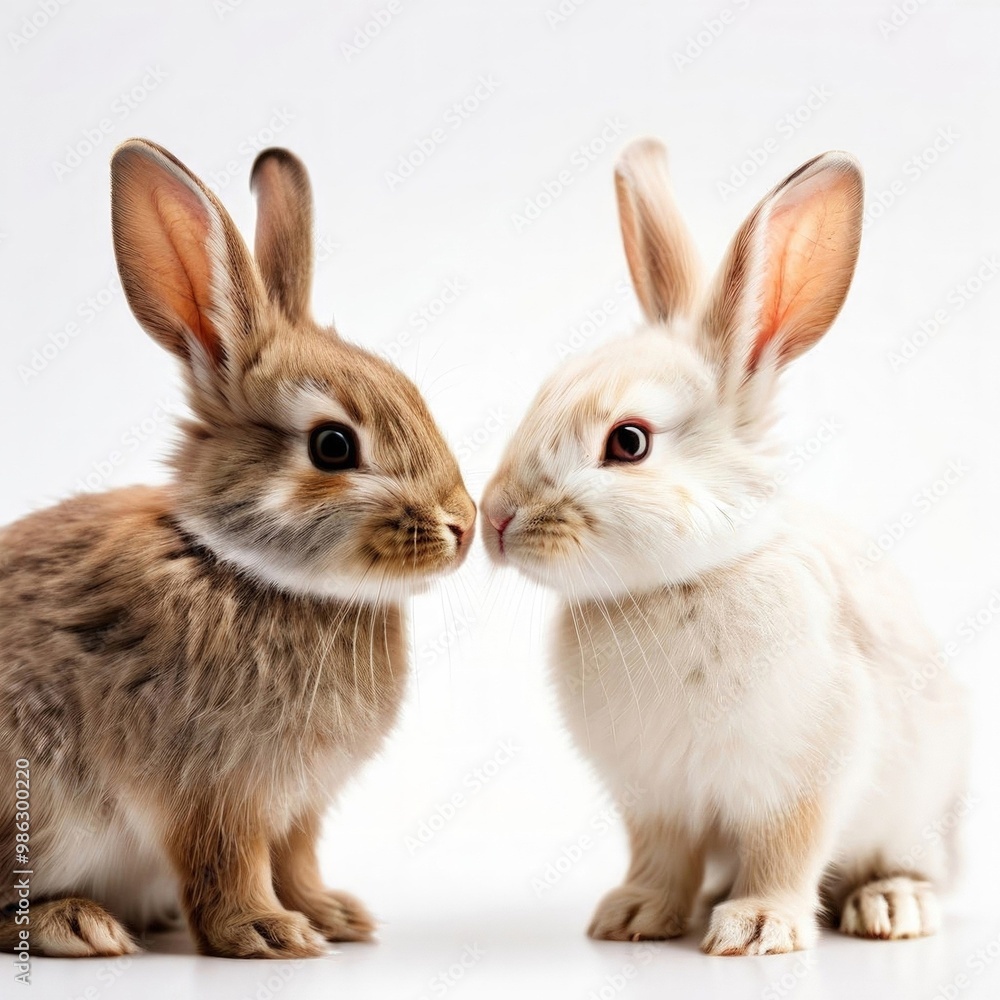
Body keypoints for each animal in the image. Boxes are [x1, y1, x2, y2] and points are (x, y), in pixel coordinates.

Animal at [0, 138, 476, 959]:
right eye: (333, 445)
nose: (464, 524)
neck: (248, 572)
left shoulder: (299, 804)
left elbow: (296, 858)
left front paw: (331, 916)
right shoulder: (213, 789)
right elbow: (227, 863)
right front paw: (266, 932)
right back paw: (79, 924)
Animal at [481, 138, 968, 955]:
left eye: (629, 442)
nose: (494, 518)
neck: (683, 580)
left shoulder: (801, 780)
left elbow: (785, 853)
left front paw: (756, 928)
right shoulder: (656, 800)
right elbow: (660, 859)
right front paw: (633, 917)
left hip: (914, 811)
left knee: (905, 867)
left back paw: (891, 907)